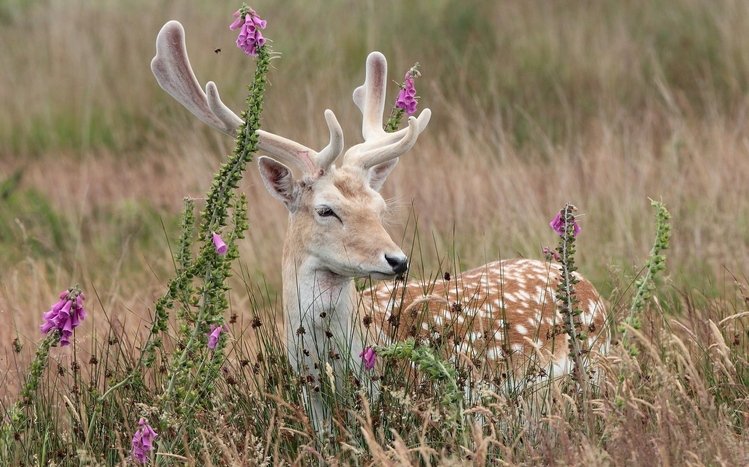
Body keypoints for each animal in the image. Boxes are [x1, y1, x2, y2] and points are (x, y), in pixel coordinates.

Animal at [151, 20, 609, 428]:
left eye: (378, 205)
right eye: (326, 210)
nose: (397, 260)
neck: (334, 364)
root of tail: (585, 284)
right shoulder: (311, 400)